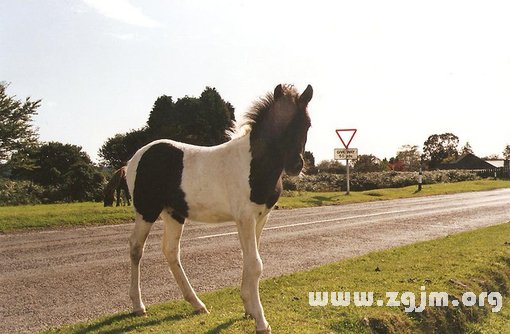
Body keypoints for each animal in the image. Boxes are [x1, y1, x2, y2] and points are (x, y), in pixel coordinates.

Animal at [126, 84, 312, 334]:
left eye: (307, 123)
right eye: (277, 122)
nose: (295, 166)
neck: (254, 164)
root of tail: (135, 158)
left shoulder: (260, 218)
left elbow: (249, 260)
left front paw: (249, 309)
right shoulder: (245, 217)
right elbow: (255, 264)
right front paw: (261, 321)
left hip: (173, 213)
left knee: (171, 251)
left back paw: (197, 304)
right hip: (146, 210)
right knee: (136, 248)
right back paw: (139, 306)